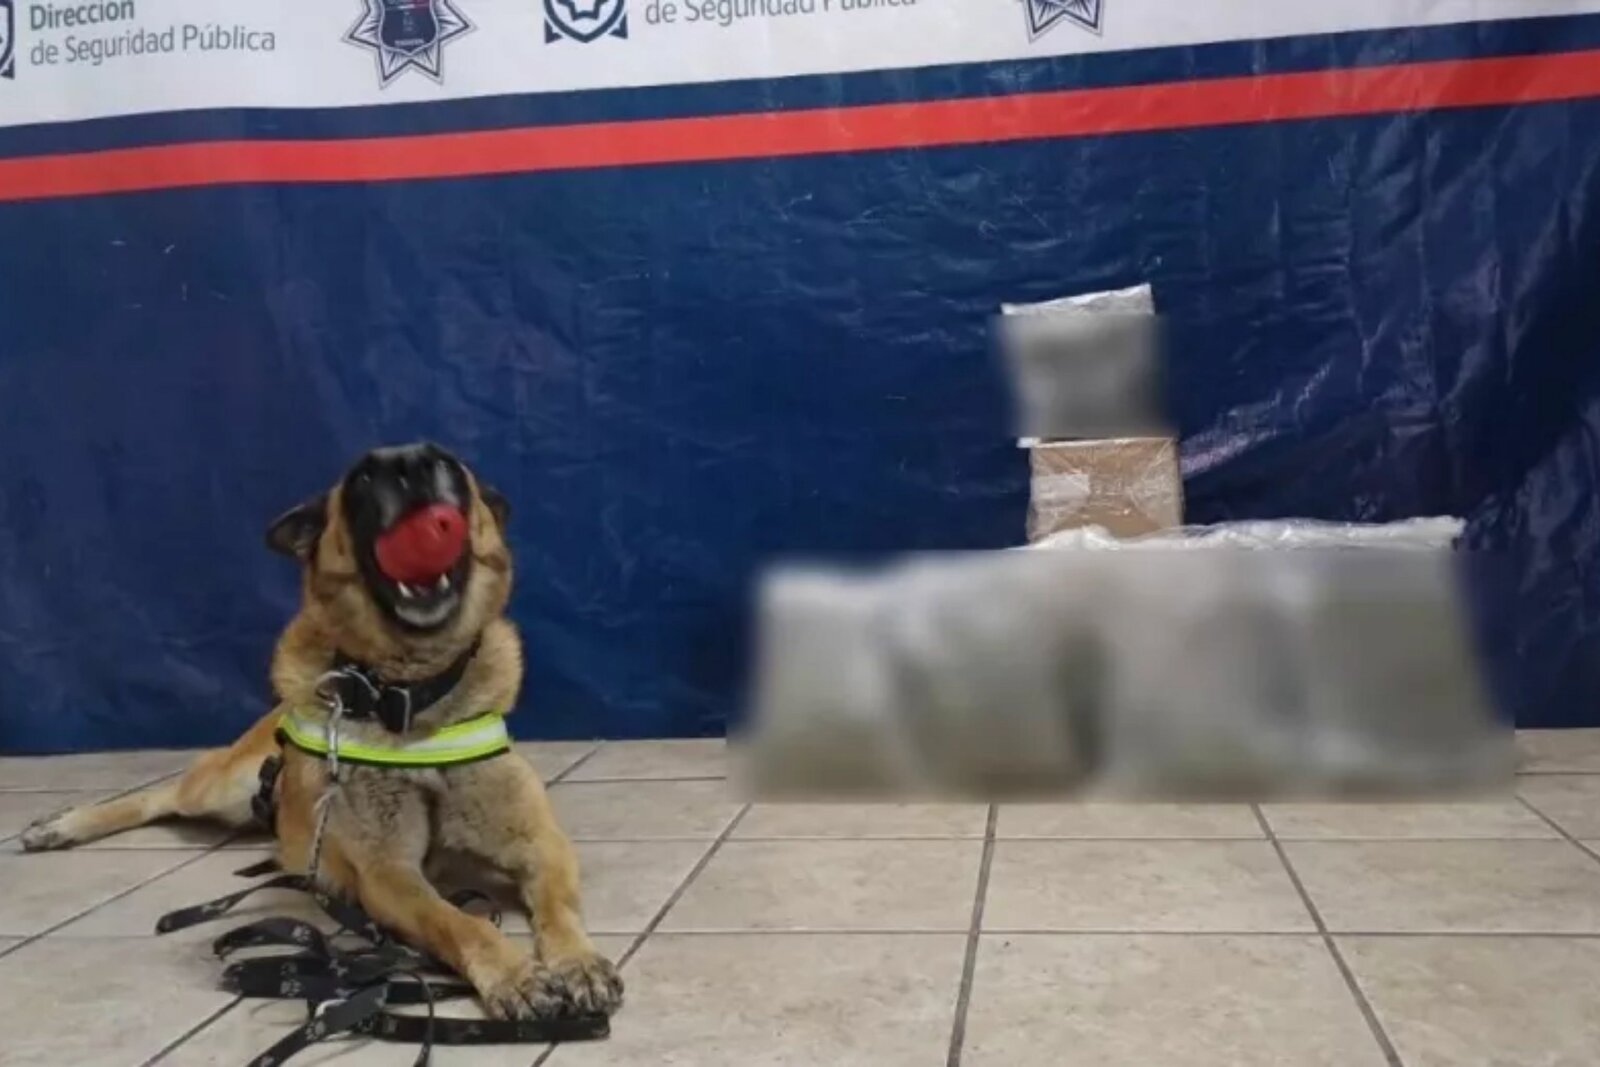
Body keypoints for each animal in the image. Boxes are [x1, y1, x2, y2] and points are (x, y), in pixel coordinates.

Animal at [21, 442, 622, 1021]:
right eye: (362, 478)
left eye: (445, 462)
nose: (410, 468)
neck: (412, 705)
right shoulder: (389, 877)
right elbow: (459, 922)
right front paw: (514, 974)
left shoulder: (541, 845)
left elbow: (559, 907)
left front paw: (578, 962)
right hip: (222, 788)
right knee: (162, 793)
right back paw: (63, 825)